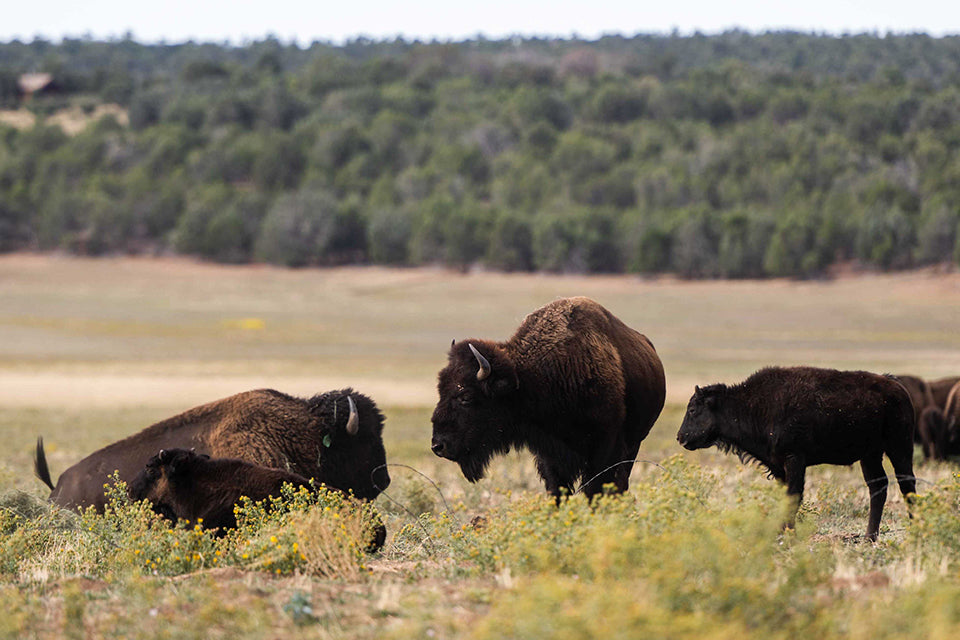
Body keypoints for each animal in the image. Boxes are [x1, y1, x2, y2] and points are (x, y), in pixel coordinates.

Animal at [432, 296, 664, 500]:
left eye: (465, 396)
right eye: (441, 390)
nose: (438, 446)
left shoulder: (605, 448)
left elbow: (595, 489)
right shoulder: (549, 455)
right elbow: (557, 490)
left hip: (635, 443)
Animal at [676, 368, 916, 544]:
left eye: (693, 410)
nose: (680, 437)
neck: (751, 405)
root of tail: (897, 387)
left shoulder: (794, 459)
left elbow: (794, 496)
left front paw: (788, 533)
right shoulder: (779, 467)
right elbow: (786, 497)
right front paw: (785, 532)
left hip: (899, 447)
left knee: (907, 484)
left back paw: (914, 527)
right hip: (870, 455)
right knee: (878, 487)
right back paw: (869, 537)